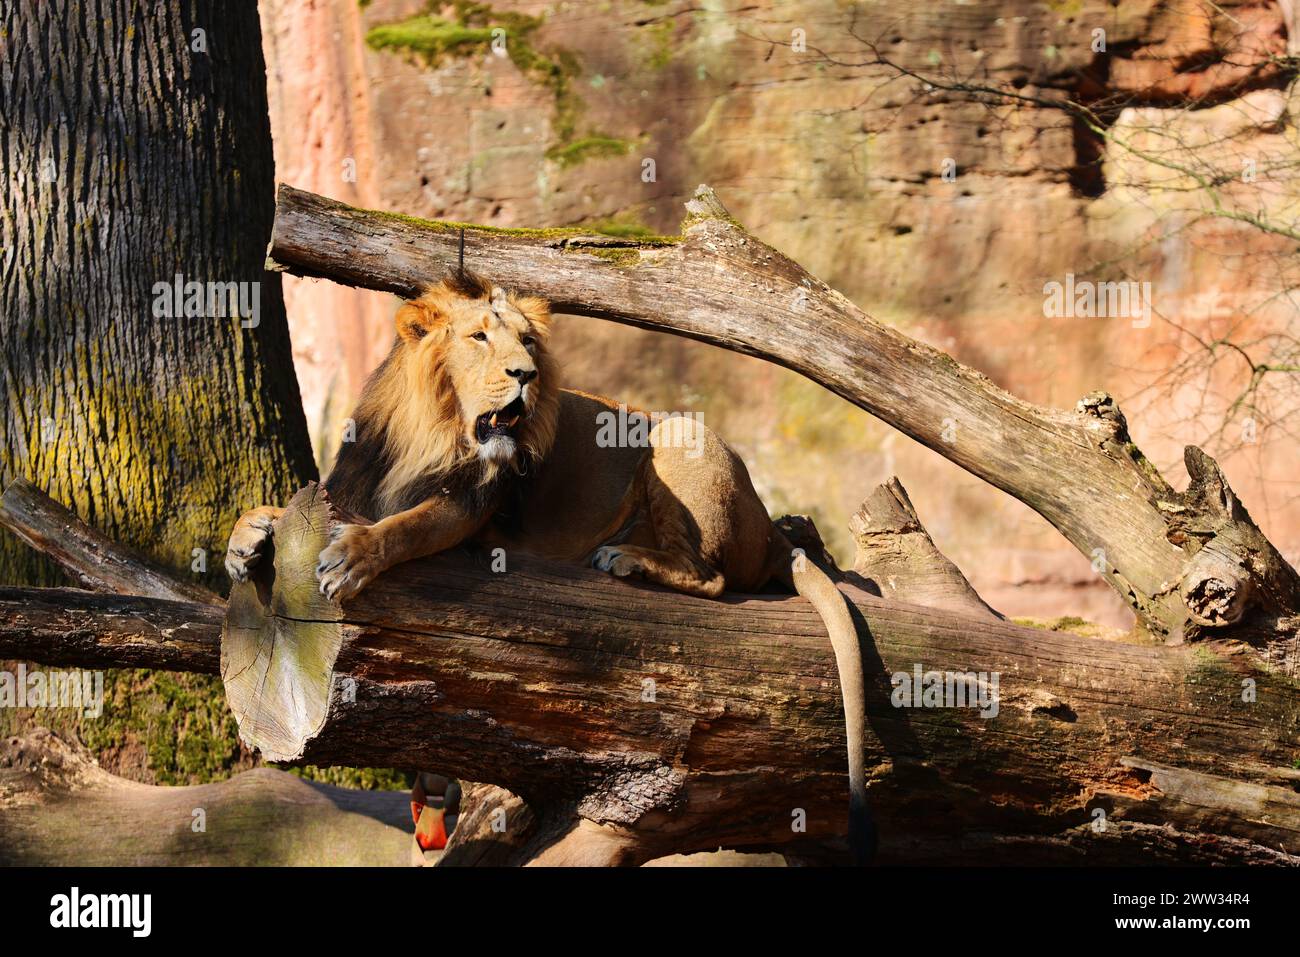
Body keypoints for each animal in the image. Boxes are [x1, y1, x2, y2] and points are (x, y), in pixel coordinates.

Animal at [226, 270, 873, 868]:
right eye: (480, 337)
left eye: (529, 343)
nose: (526, 376)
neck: (429, 431)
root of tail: (769, 529)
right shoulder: (351, 488)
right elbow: (282, 507)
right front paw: (247, 536)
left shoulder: (466, 507)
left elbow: (403, 527)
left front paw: (352, 555)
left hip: (679, 430)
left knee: (709, 575)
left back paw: (626, 559)